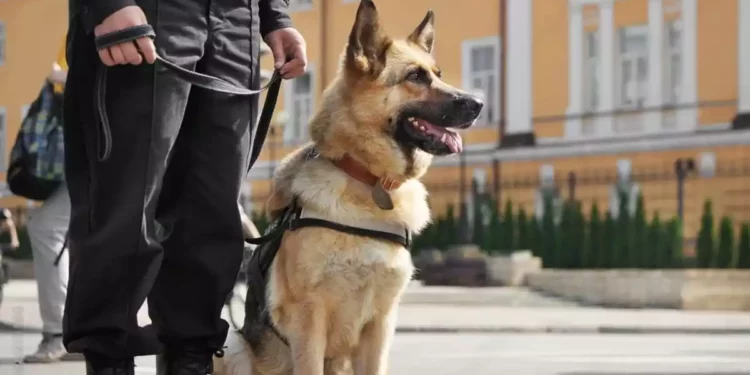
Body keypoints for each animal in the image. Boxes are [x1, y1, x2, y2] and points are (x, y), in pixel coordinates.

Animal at [214, 1, 484, 374]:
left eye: (438, 74)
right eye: (415, 77)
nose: (479, 104)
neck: (367, 179)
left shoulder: (381, 325)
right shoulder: (309, 321)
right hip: (232, 342)